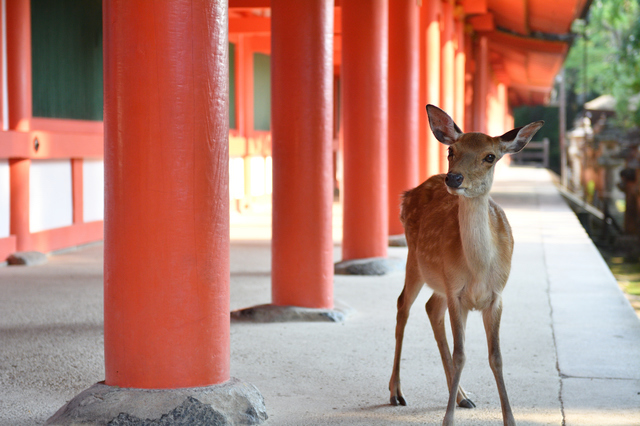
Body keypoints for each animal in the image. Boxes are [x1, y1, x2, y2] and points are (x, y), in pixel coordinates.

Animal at [388, 104, 544, 426]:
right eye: (451, 150)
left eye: (490, 156)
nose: (454, 178)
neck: (480, 270)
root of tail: (407, 194)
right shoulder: (457, 294)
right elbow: (462, 355)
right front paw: (446, 420)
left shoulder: (495, 297)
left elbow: (496, 357)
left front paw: (510, 419)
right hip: (416, 261)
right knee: (403, 306)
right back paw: (396, 392)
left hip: (439, 282)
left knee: (431, 308)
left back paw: (462, 396)